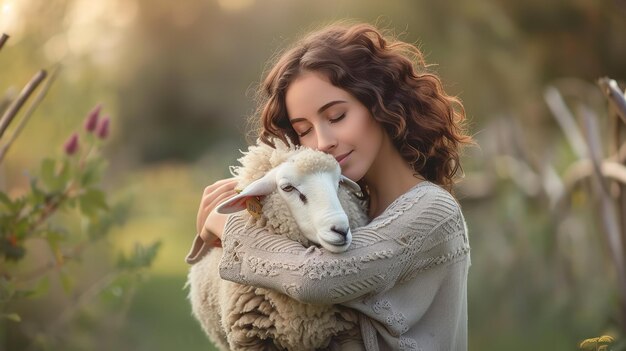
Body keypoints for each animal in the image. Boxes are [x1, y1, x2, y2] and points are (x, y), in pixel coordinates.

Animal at [185, 139, 366, 351]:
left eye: (338, 183)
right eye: (287, 188)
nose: (341, 230)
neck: (302, 313)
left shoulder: (347, 333)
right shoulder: (249, 337)